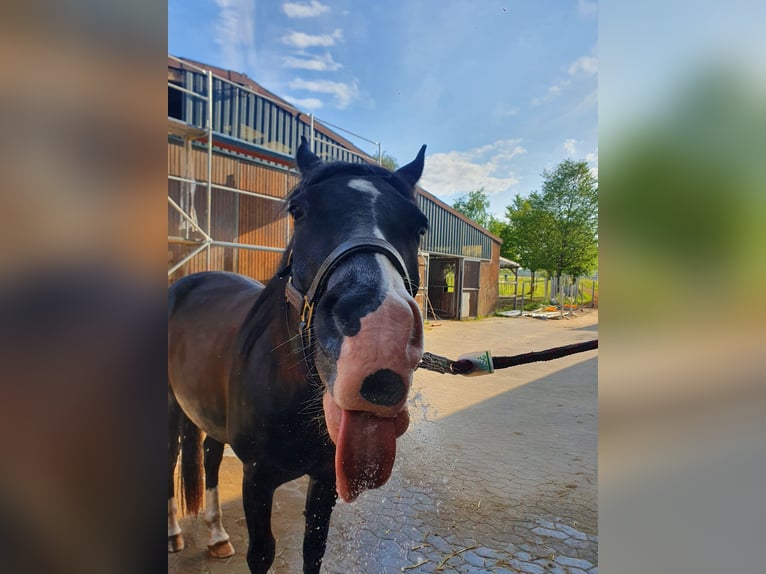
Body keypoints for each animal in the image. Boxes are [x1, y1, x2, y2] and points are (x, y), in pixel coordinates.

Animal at [170, 141, 432, 574]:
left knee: (209, 457)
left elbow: (314, 548)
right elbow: (262, 553)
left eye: (419, 226)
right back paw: (175, 533)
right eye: (299, 211)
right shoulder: (256, 478)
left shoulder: (325, 477)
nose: (379, 336)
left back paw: (217, 536)